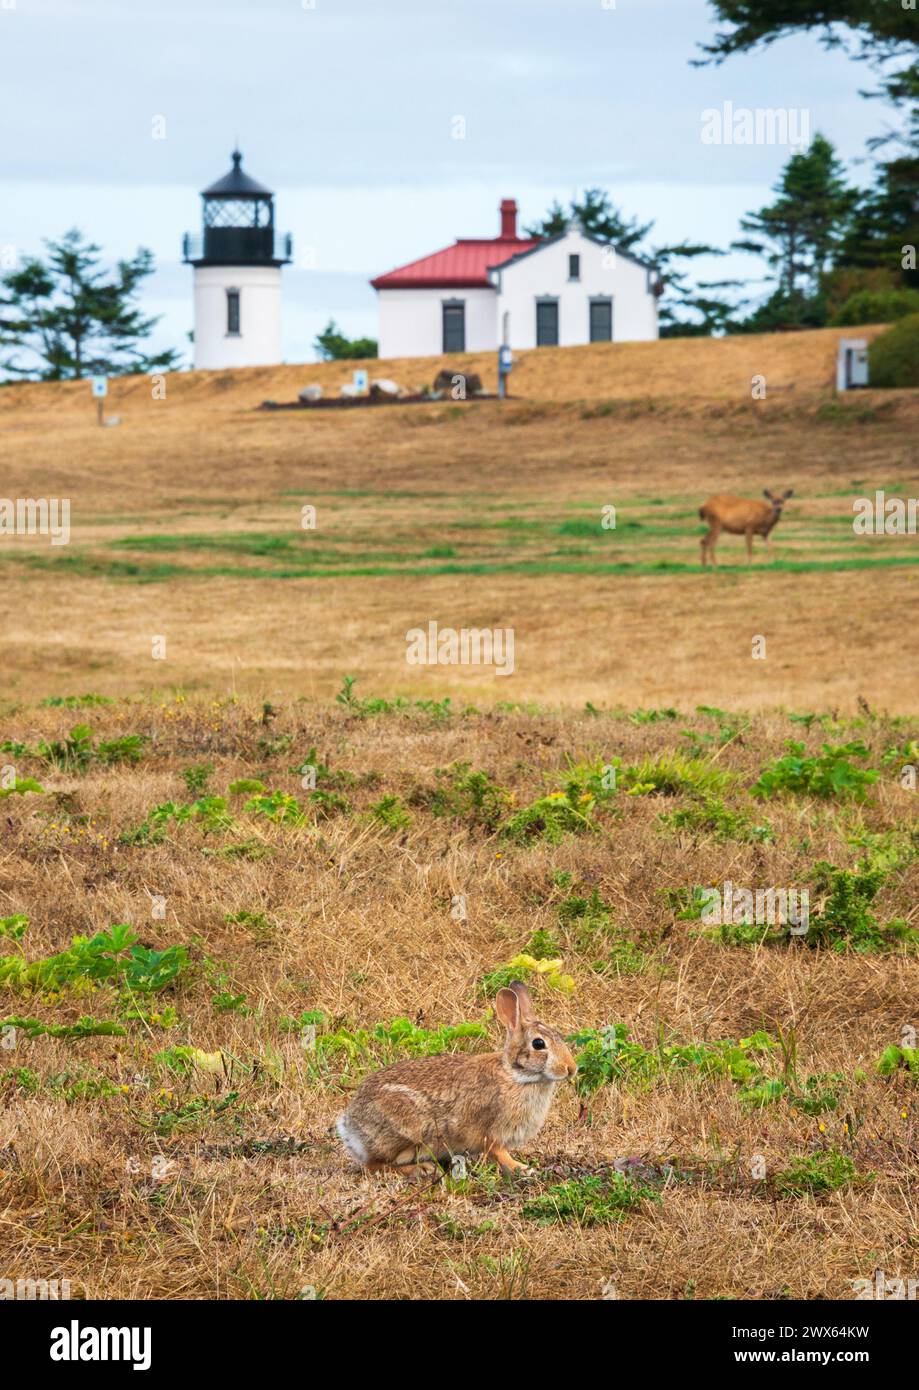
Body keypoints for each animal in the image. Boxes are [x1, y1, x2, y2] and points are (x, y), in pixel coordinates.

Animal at [333, 978, 578, 1173]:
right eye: (539, 1044)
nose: (571, 1068)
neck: (516, 1075)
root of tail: (349, 1127)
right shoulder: (491, 1131)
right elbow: (499, 1152)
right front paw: (522, 1168)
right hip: (407, 1131)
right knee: (376, 1166)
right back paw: (421, 1169)